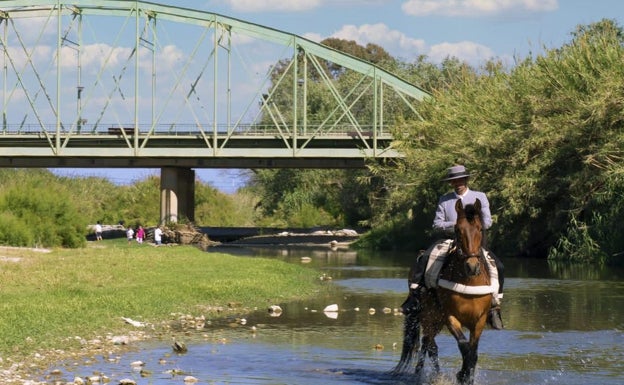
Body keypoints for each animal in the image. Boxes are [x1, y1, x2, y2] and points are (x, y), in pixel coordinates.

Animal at [392, 198, 494, 384]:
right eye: (457, 230)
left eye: (480, 228)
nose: (472, 266)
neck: (468, 283)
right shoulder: (450, 317)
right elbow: (464, 347)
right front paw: (462, 375)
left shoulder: (479, 320)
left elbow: (473, 352)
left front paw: (467, 377)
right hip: (429, 317)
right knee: (431, 345)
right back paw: (431, 375)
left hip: (436, 321)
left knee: (427, 343)